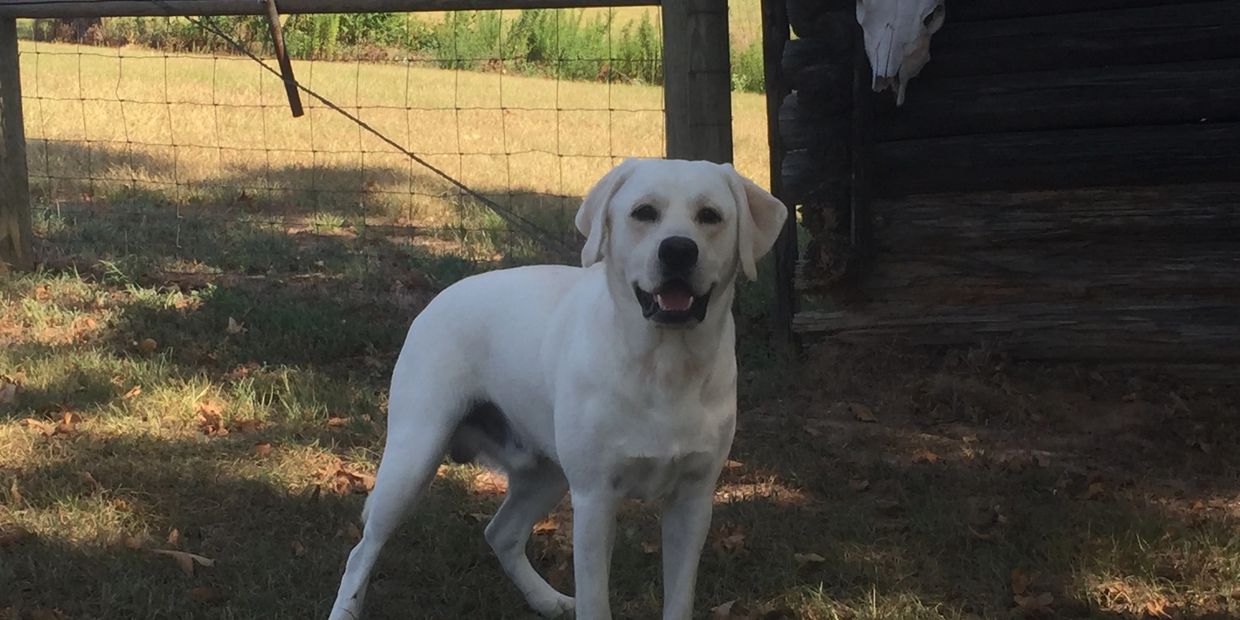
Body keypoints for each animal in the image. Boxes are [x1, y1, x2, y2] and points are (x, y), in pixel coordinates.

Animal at [329, 158, 783, 620]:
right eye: (644, 212)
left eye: (710, 215)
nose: (677, 250)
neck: (664, 367)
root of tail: (436, 300)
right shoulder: (595, 499)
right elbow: (596, 600)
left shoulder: (692, 501)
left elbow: (678, 599)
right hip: (414, 454)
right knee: (362, 550)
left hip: (546, 472)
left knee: (501, 533)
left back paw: (547, 599)